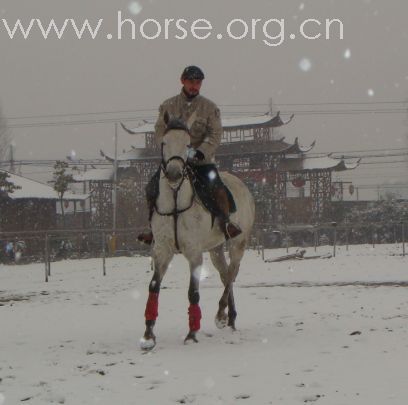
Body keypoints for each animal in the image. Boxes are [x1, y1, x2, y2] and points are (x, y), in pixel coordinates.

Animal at [140, 112, 255, 348]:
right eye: (164, 143)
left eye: (187, 144)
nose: (174, 174)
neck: (176, 200)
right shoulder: (162, 251)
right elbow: (153, 286)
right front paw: (148, 334)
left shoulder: (194, 254)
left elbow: (193, 292)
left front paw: (192, 334)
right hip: (216, 248)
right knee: (225, 274)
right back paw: (230, 318)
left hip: (238, 243)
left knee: (232, 273)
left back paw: (221, 315)